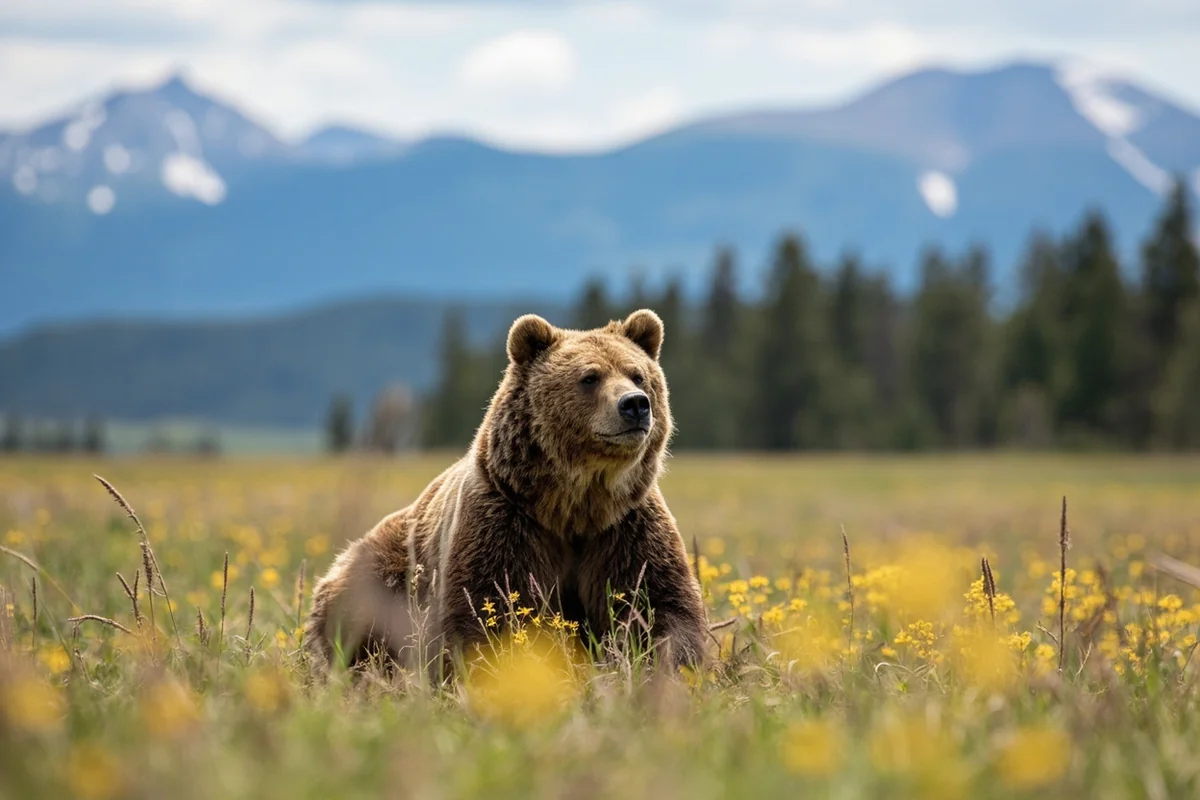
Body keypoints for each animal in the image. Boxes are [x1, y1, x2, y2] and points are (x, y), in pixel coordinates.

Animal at [304, 309, 708, 680]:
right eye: (590, 377)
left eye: (638, 374)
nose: (635, 403)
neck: (574, 504)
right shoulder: (505, 518)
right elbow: (490, 606)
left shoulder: (625, 526)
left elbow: (659, 602)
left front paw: (667, 667)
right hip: (384, 568)